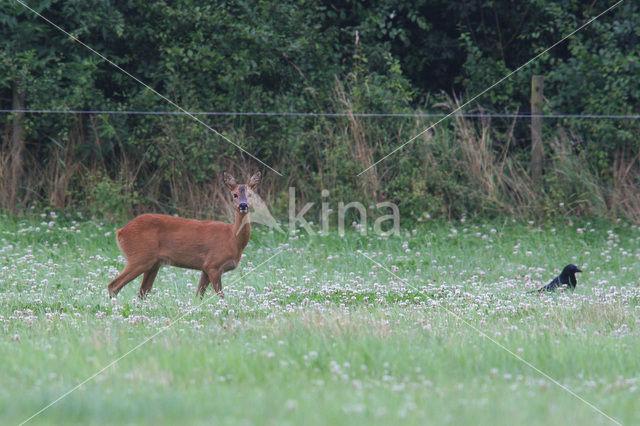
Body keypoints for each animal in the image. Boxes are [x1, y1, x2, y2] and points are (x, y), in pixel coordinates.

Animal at [107, 171, 260, 298]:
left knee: (142, 293)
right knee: (114, 285)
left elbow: (198, 296)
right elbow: (221, 296)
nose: (243, 205)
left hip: (153, 263)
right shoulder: (214, 264)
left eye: (250, 194)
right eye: (235, 194)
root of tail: (120, 232)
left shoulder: (205, 267)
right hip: (140, 256)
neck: (232, 237)